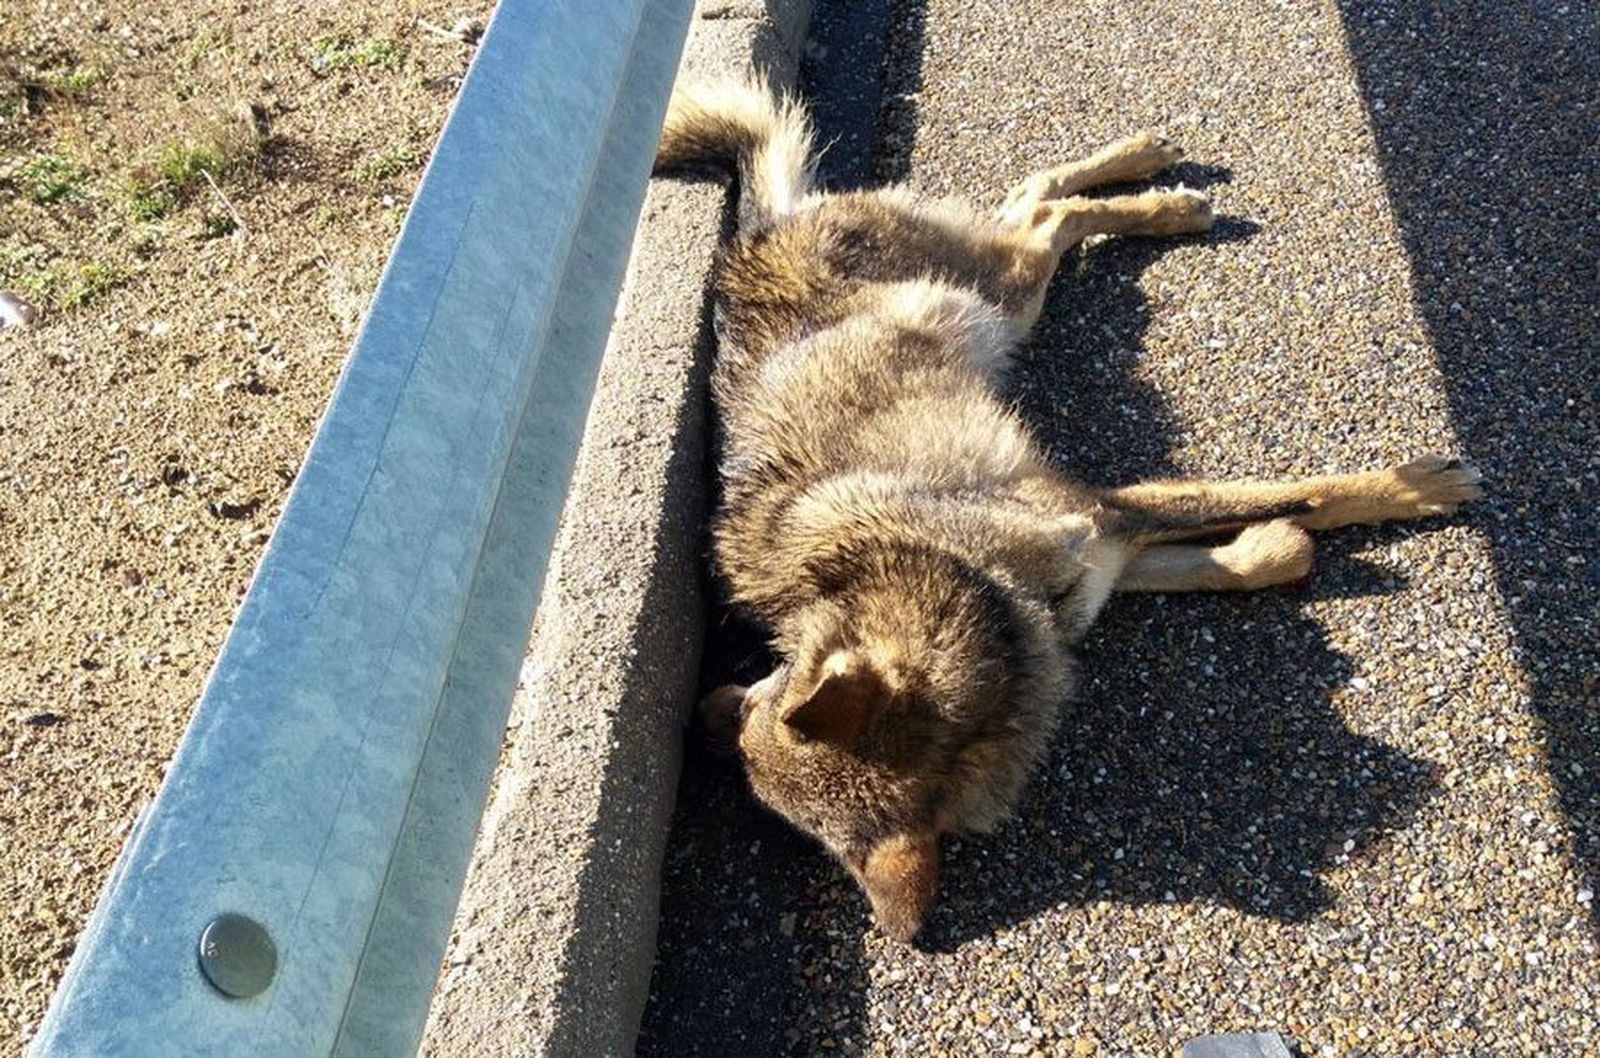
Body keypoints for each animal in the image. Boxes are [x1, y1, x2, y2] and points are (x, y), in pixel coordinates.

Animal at [654, 78, 1481, 942]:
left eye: (766, 692)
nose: (713, 711)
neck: (976, 586)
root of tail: (757, 234)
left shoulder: (1104, 511)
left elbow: (1309, 492)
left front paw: (1415, 486)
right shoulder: (1102, 557)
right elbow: (1235, 554)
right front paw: (1279, 546)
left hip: (1001, 295)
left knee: (1046, 204)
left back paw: (1156, 188)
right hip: (1008, 299)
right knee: (1038, 208)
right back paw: (1155, 186)